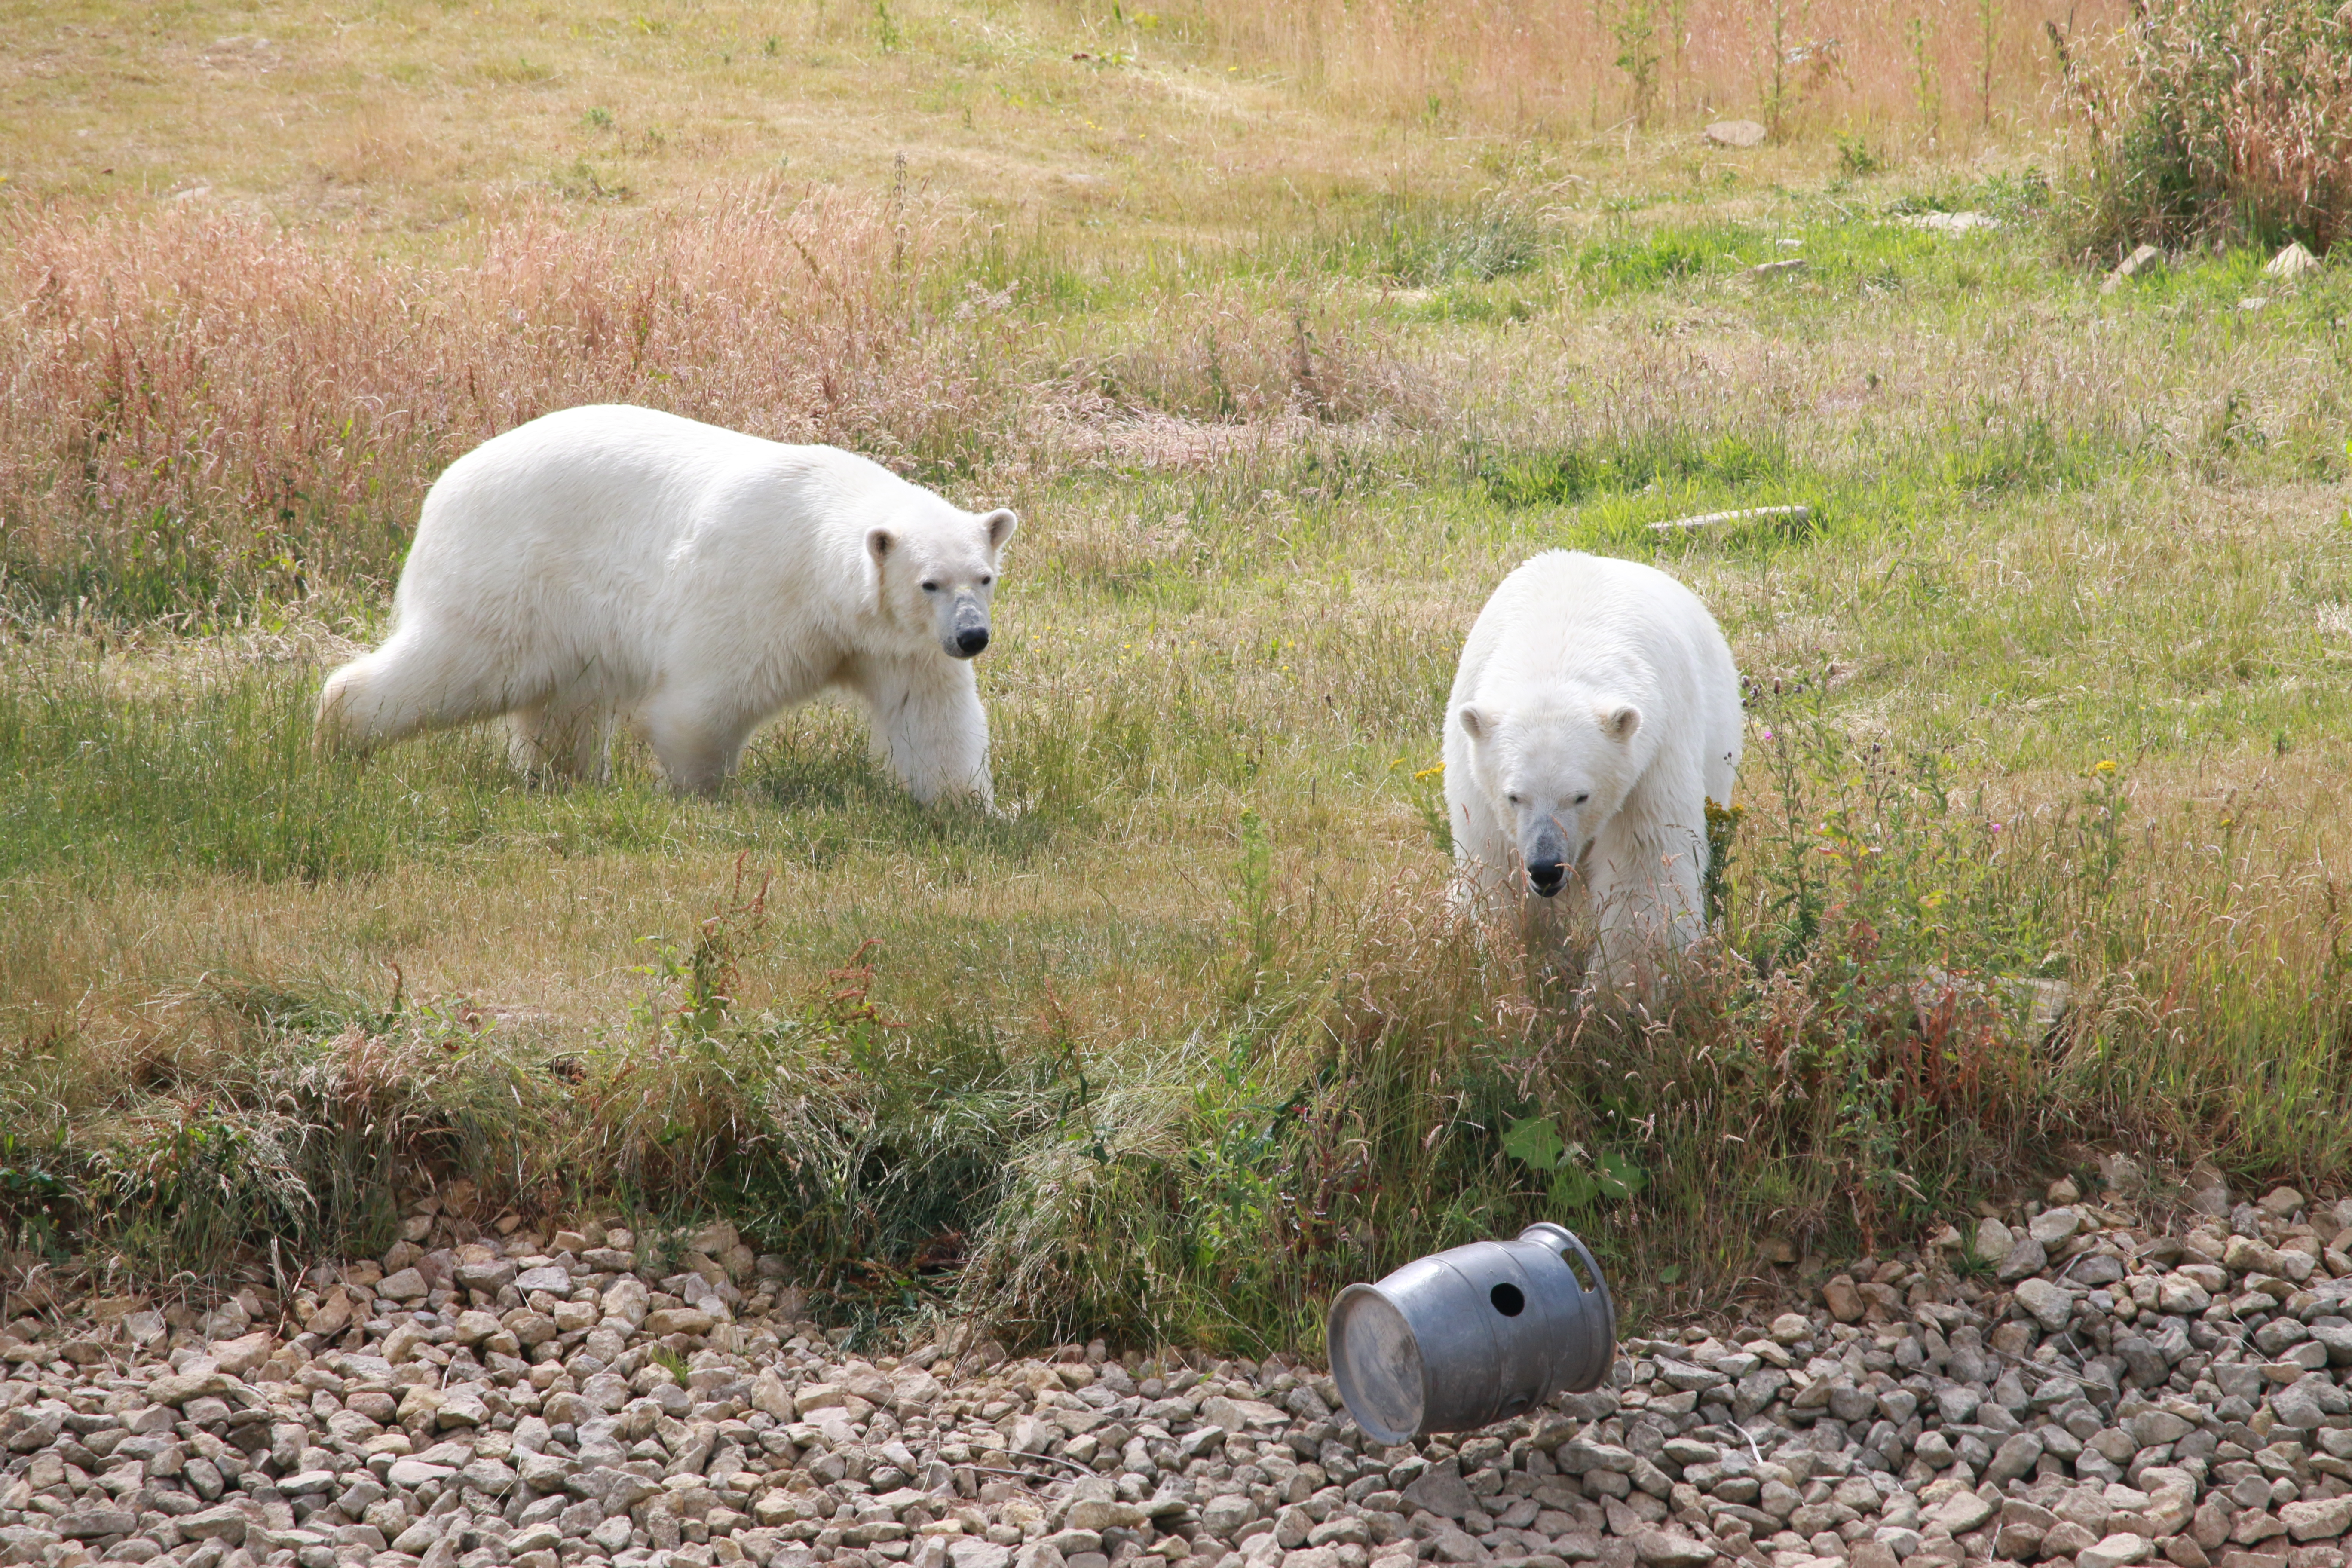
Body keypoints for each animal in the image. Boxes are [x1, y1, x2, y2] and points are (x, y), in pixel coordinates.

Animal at [317, 404, 1016, 804]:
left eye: (982, 578)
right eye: (928, 582)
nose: (971, 638)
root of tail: (442, 487)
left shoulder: (897, 641)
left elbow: (930, 716)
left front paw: (973, 808)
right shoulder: (759, 590)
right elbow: (702, 705)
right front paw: (705, 795)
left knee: (561, 699)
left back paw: (566, 777)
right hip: (511, 571)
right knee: (463, 661)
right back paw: (340, 732)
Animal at [1430, 554, 1750, 983]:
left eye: (1581, 796)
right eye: (1514, 796)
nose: (1546, 870)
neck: (1558, 638)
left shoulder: (1652, 752)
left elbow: (1643, 865)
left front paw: (1630, 982)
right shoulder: (1477, 778)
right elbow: (1494, 863)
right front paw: (1507, 958)